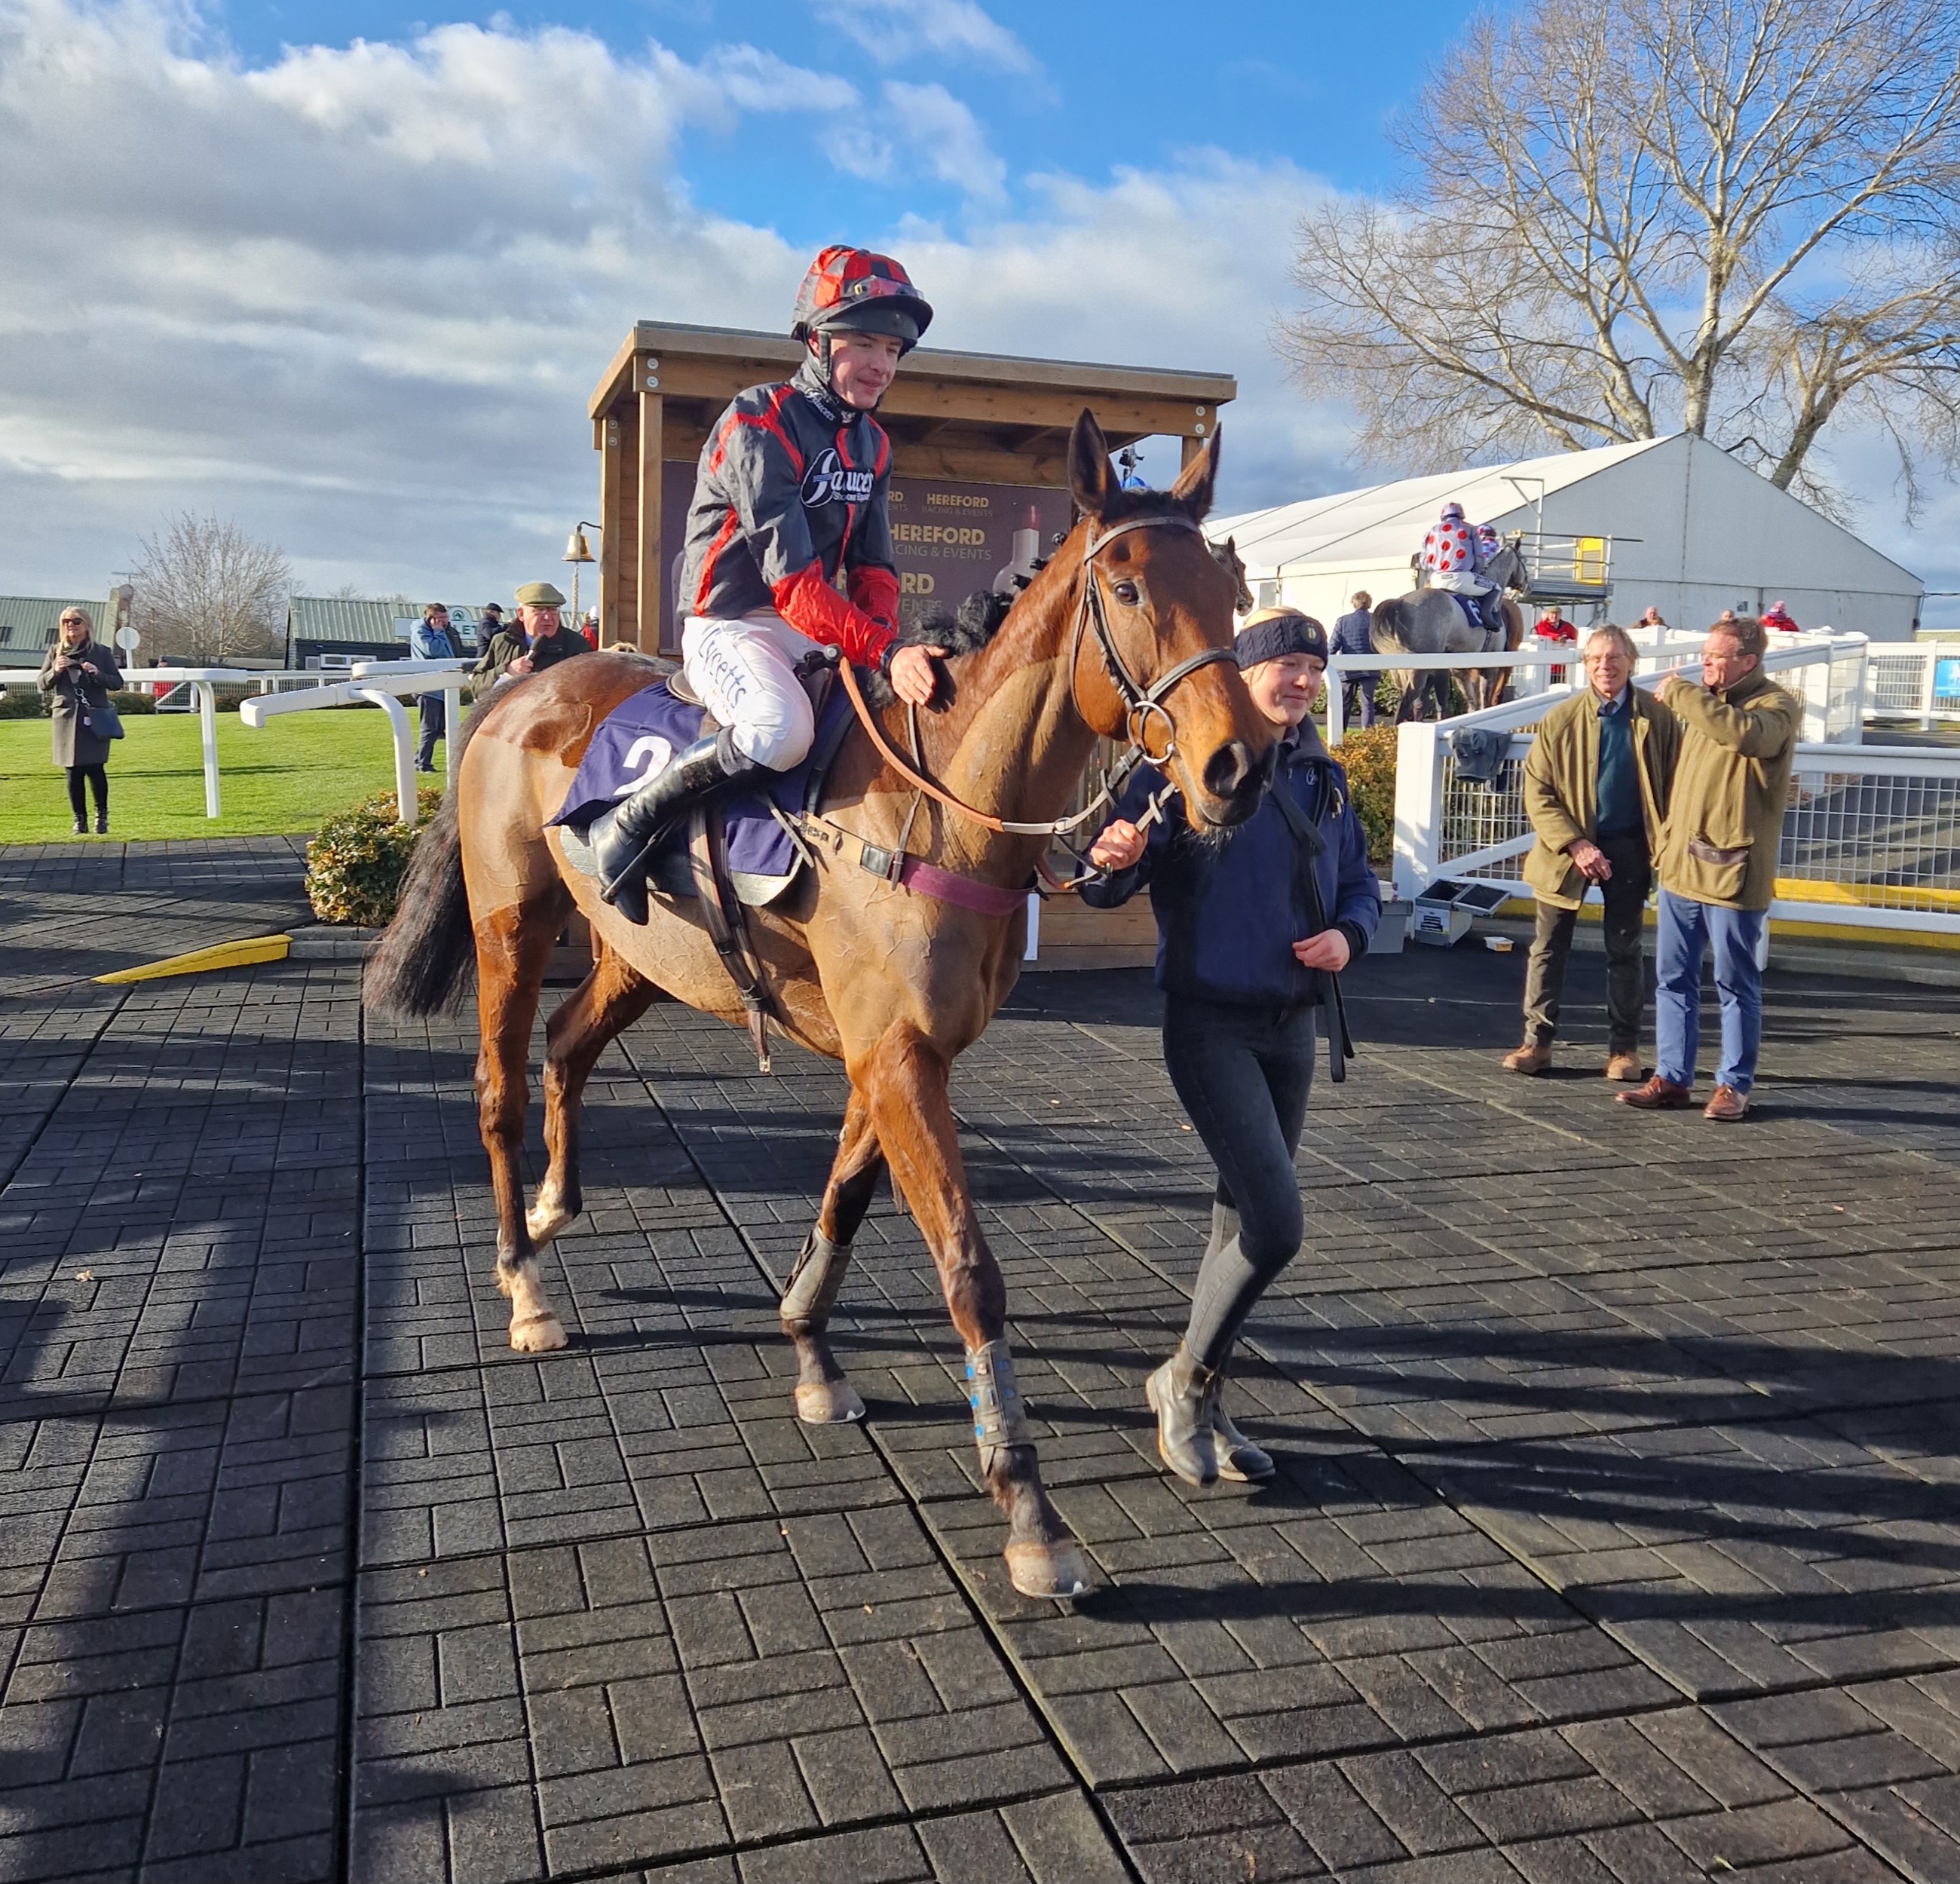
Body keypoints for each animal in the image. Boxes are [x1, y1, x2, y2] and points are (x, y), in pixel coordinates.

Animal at [362, 403, 1269, 1591]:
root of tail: (516, 689)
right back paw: (524, 1283)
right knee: (498, 1089)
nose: (1236, 767)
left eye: (1230, 588)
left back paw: (557, 1208)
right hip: (510, 923)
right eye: (1123, 587)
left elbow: (843, 1198)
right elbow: (969, 1269)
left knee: (565, 1044)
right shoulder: (895, 1055)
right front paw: (1028, 1509)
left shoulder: (899, 1051)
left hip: (640, 955)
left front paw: (809, 1351)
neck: (942, 806)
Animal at [1364, 544, 1528, 729]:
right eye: (1524, 559)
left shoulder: (1459, 669)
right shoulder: (1489, 667)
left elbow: (1470, 705)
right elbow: (1483, 703)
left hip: (1398, 670)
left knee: (1410, 701)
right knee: (1408, 701)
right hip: (1419, 669)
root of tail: (1400, 602)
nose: (1527, 585)